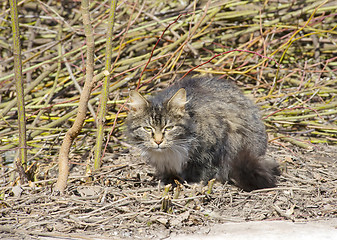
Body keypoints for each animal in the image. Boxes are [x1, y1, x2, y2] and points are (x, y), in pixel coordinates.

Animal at [126, 76, 278, 190]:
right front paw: (167, 179)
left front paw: (194, 183)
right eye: (147, 128)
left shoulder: (213, 146)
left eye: (169, 128)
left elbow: (204, 168)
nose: (158, 141)